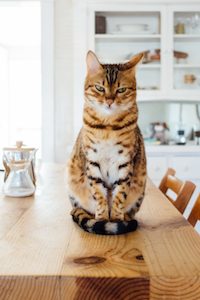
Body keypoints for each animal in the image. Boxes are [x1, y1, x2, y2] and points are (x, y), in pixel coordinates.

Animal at [67, 51, 147, 234]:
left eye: (121, 90)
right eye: (99, 88)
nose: (109, 101)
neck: (108, 127)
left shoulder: (125, 162)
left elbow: (119, 195)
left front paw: (116, 220)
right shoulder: (92, 160)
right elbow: (99, 194)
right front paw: (102, 219)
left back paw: (125, 219)